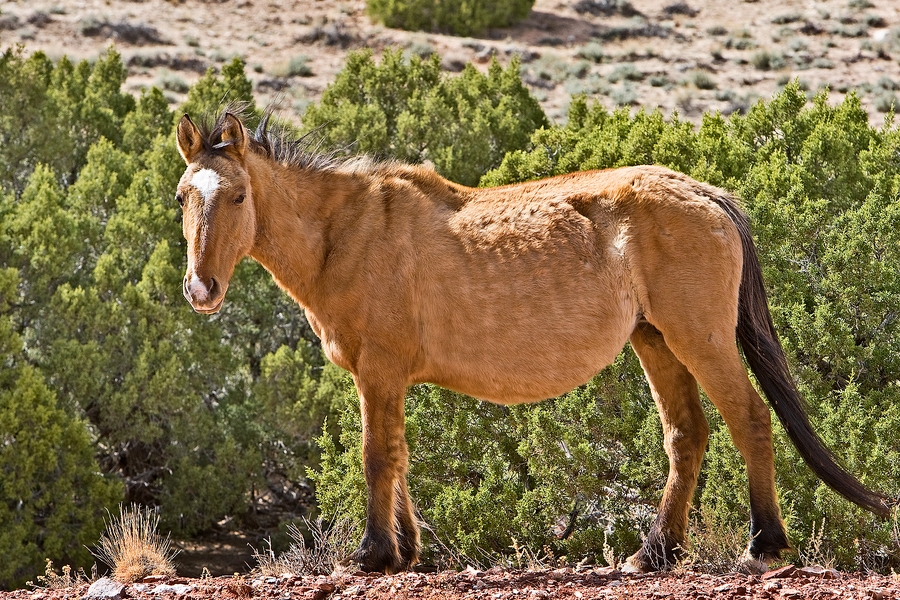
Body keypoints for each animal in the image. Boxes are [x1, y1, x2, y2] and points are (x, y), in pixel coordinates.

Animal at [172, 109, 888, 576]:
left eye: (237, 195)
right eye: (183, 195)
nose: (201, 289)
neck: (345, 231)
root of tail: (705, 192)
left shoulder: (379, 369)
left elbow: (378, 457)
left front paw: (374, 554)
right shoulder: (384, 377)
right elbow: (398, 459)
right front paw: (406, 551)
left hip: (700, 336)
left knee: (749, 418)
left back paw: (763, 543)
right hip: (655, 341)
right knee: (687, 433)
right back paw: (654, 552)